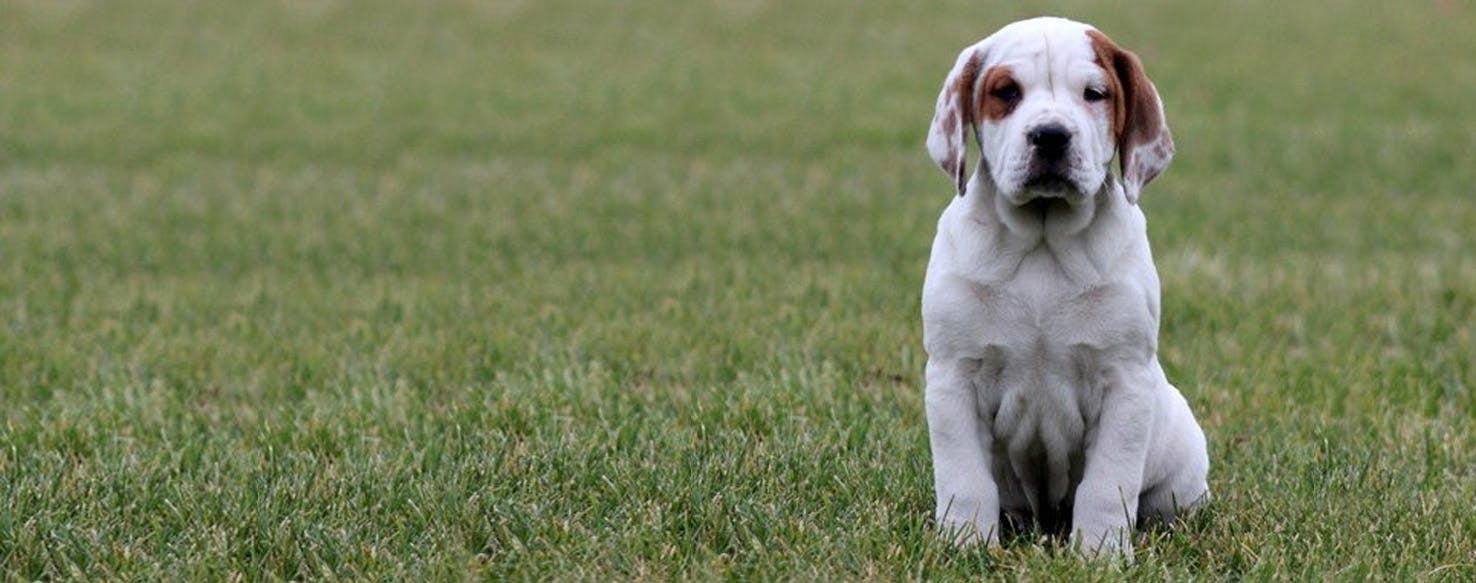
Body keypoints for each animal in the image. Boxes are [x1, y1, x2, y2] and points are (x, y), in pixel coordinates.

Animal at [921, 15, 1210, 557]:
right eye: (1006, 92)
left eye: (1094, 93)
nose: (1051, 136)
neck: (1042, 241)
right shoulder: (954, 377)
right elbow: (965, 479)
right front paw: (965, 545)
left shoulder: (1124, 383)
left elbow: (1107, 484)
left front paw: (1100, 554)